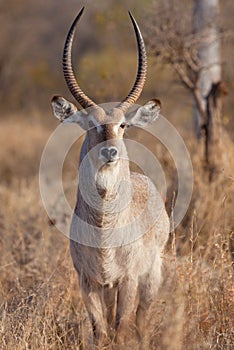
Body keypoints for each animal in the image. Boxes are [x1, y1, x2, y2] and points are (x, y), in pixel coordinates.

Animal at [51, 6, 169, 346]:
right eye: (91, 123)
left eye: (123, 125)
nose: (111, 152)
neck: (105, 228)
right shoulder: (88, 282)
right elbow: (101, 332)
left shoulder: (127, 280)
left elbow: (122, 328)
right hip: (107, 287)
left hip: (149, 277)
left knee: (141, 321)